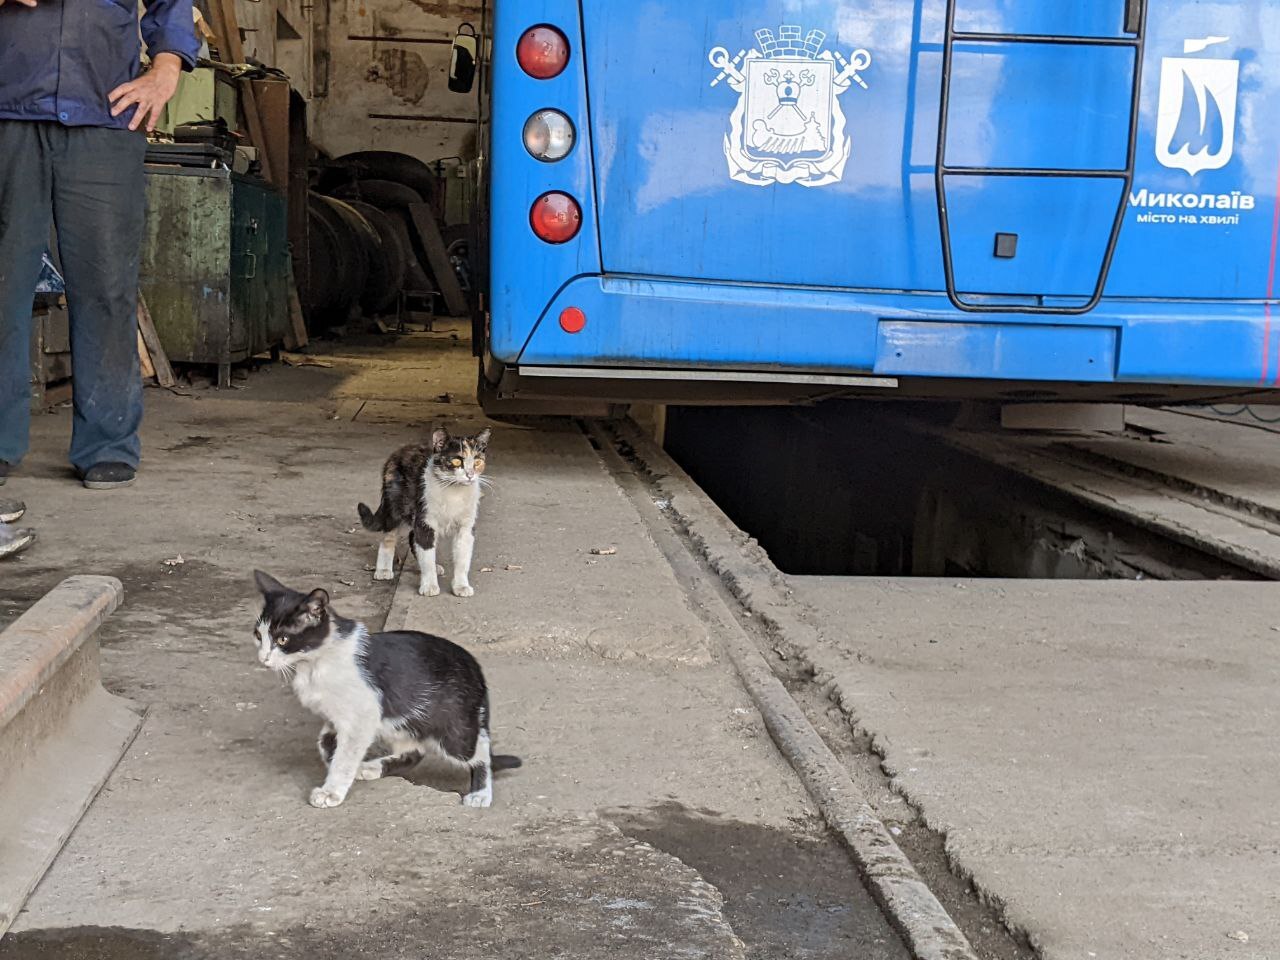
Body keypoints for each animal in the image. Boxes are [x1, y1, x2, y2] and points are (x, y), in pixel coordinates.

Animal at [252, 576, 517, 808]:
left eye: (283, 639)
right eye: (258, 635)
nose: (263, 658)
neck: (314, 664)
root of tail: (474, 665)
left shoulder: (364, 713)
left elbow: (346, 754)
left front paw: (332, 790)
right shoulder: (339, 716)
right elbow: (326, 742)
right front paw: (337, 763)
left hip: (454, 728)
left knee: (481, 749)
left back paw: (481, 794)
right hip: (400, 720)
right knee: (414, 751)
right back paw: (370, 767)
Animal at [358, 427, 491, 593]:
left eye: (478, 462)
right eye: (457, 461)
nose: (470, 475)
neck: (454, 493)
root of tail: (400, 450)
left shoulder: (466, 527)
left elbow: (462, 559)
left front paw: (461, 586)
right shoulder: (425, 522)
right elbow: (427, 556)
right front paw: (429, 586)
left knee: (411, 536)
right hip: (396, 508)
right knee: (388, 538)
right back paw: (383, 570)